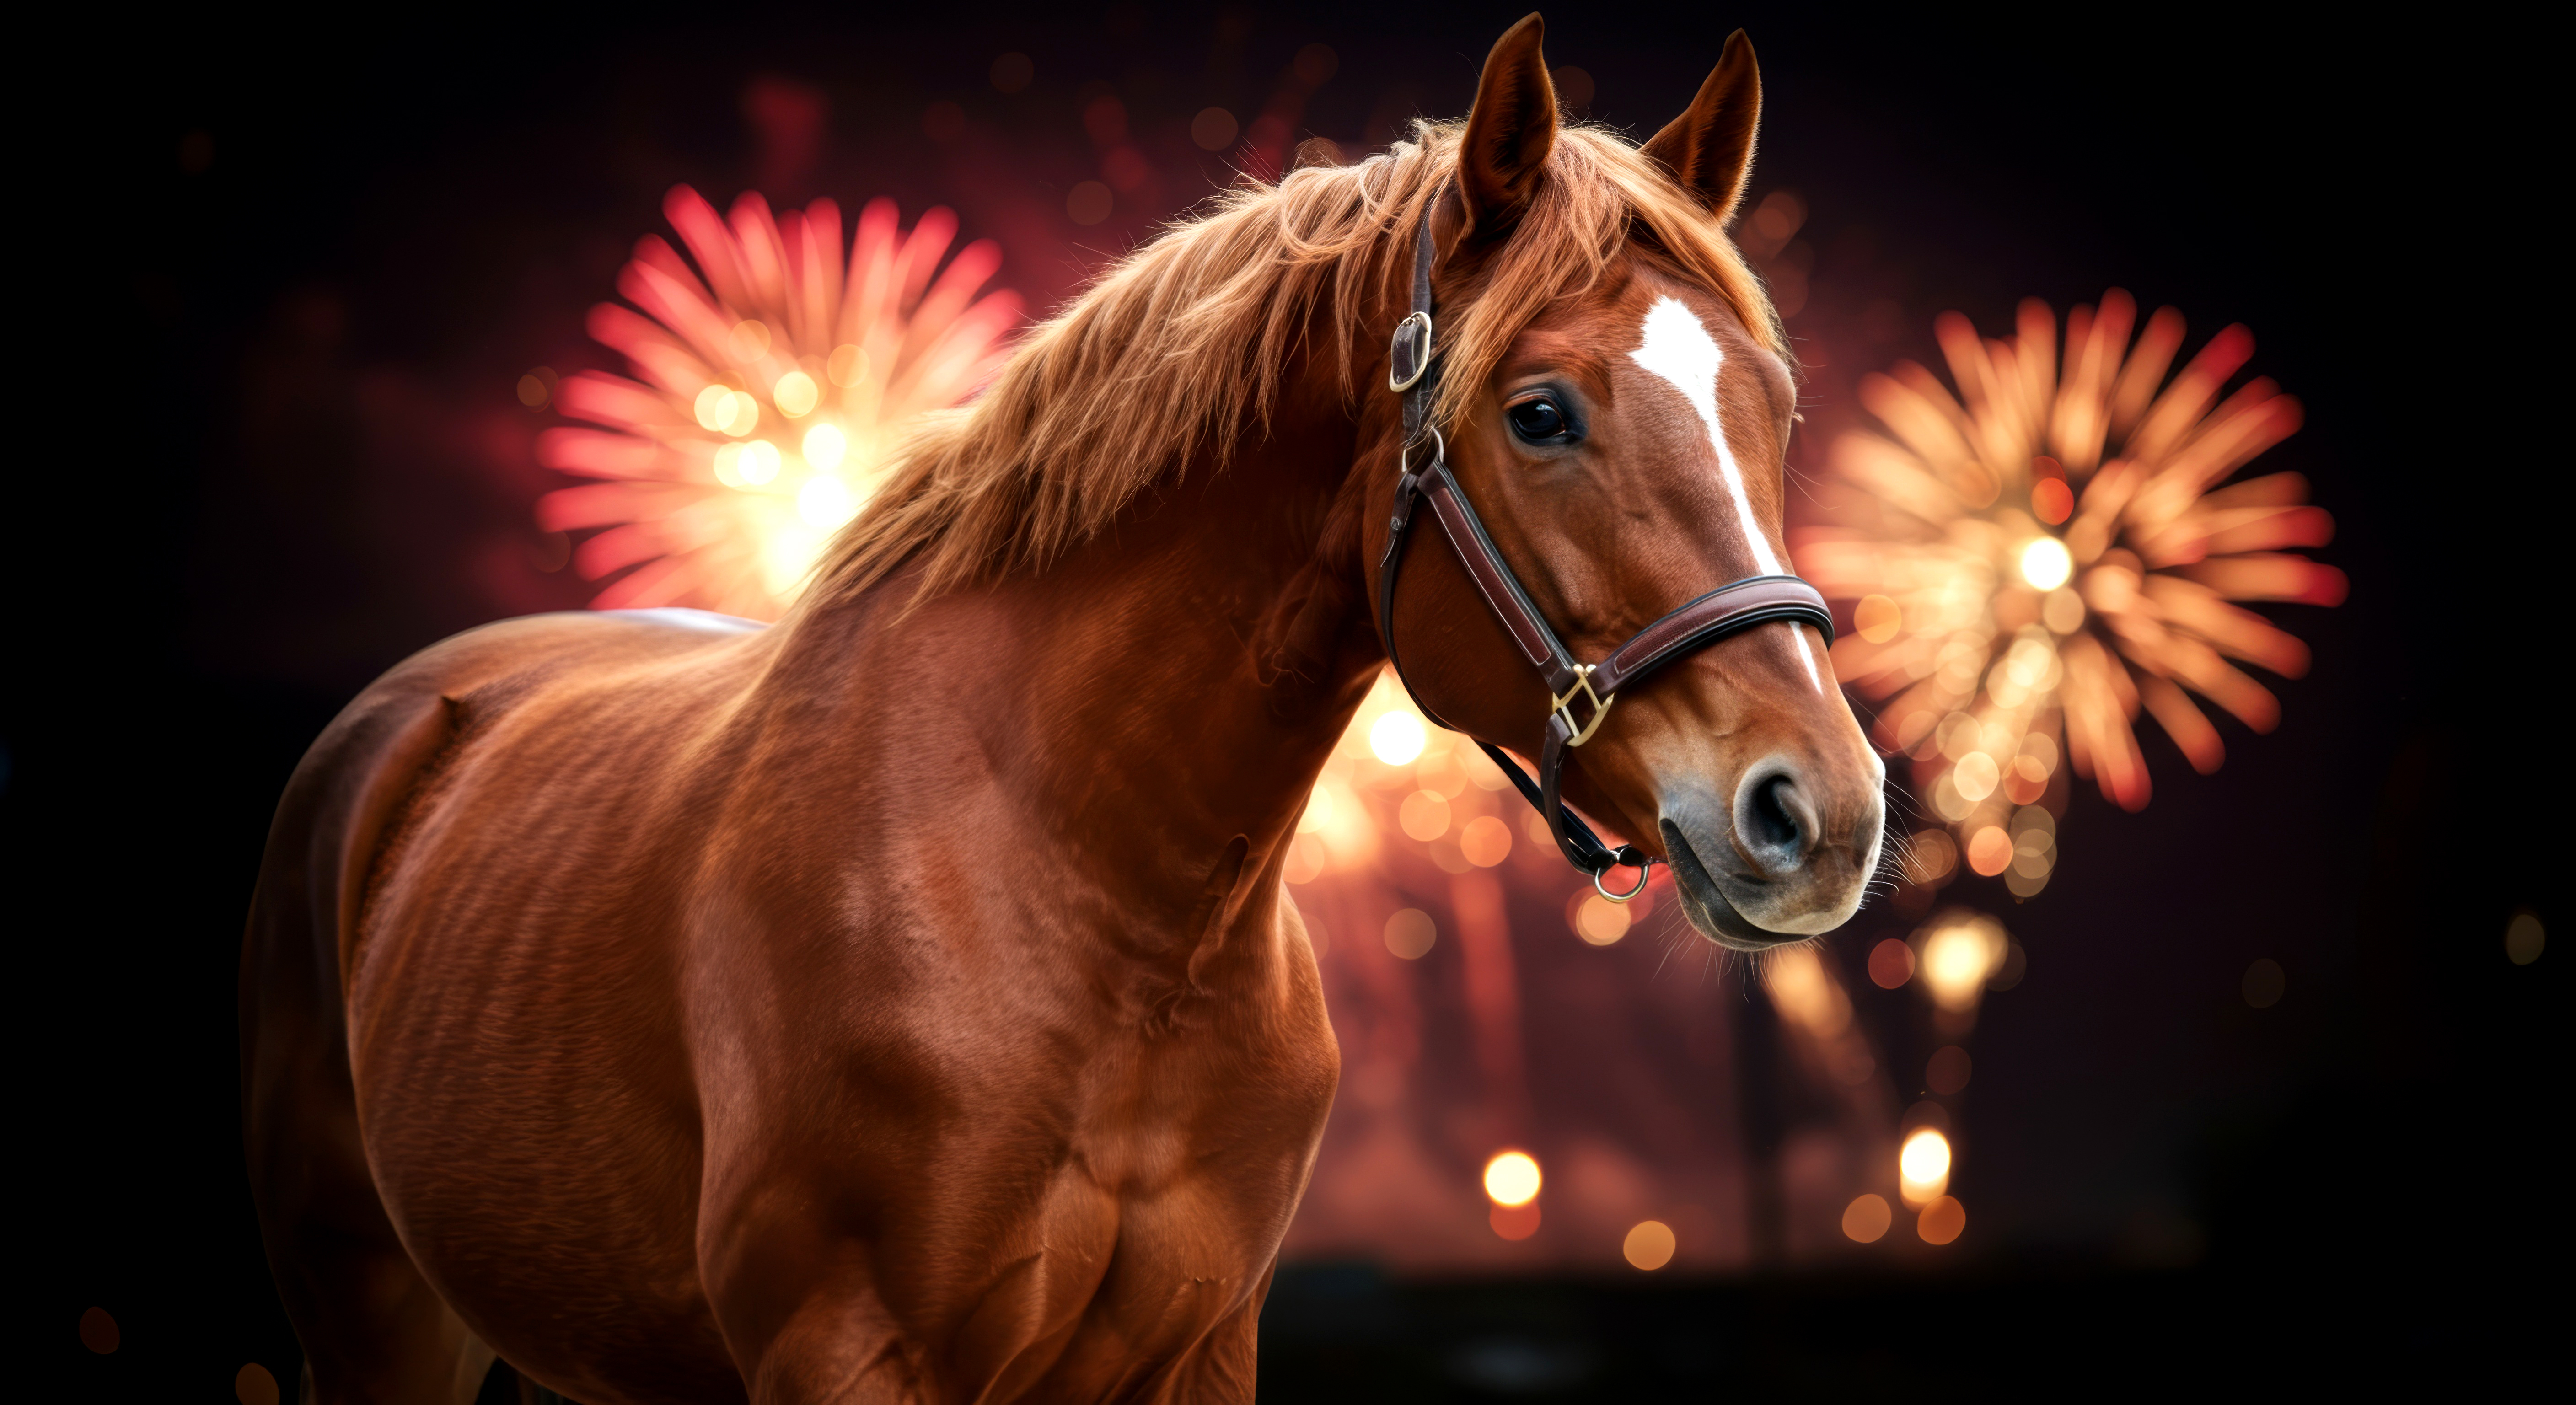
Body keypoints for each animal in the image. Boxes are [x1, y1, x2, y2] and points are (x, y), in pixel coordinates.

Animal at [240, 15, 1885, 1402]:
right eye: (1540, 412)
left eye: (1774, 405)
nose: (1819, 815)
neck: (1097, 903)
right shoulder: (846, 1351)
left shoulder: (1199, 1353)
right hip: (380, 1319)